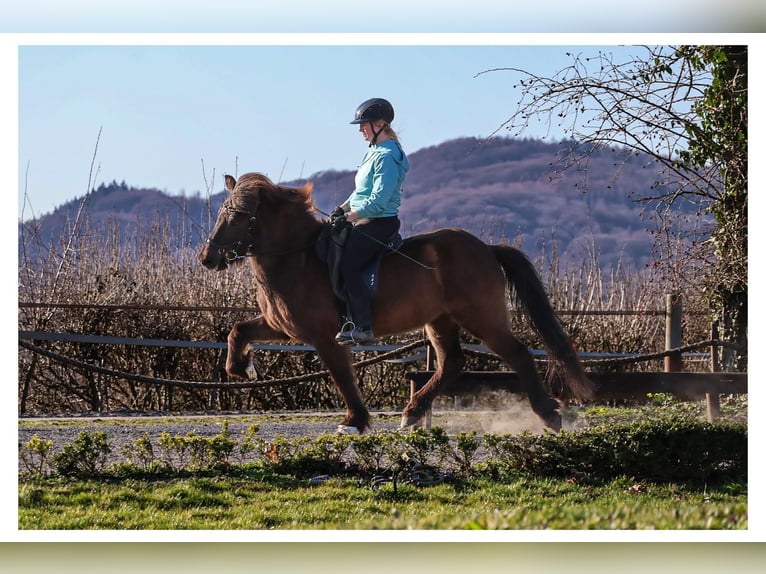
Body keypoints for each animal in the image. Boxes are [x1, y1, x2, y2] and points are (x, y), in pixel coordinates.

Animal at [198, 172, 595, 434]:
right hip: (440, 320)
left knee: (518, 354)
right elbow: (237, 331)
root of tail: (485, 247)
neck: (296, 256)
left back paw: (549, 415)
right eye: (222, 212)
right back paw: (413, 412)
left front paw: (354, 422)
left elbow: (341, 376)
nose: (207, 258)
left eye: (239, 216)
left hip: (481, 317)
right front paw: (244, 368)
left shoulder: (324, 336)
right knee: (452, 363)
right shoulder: (282, 326)